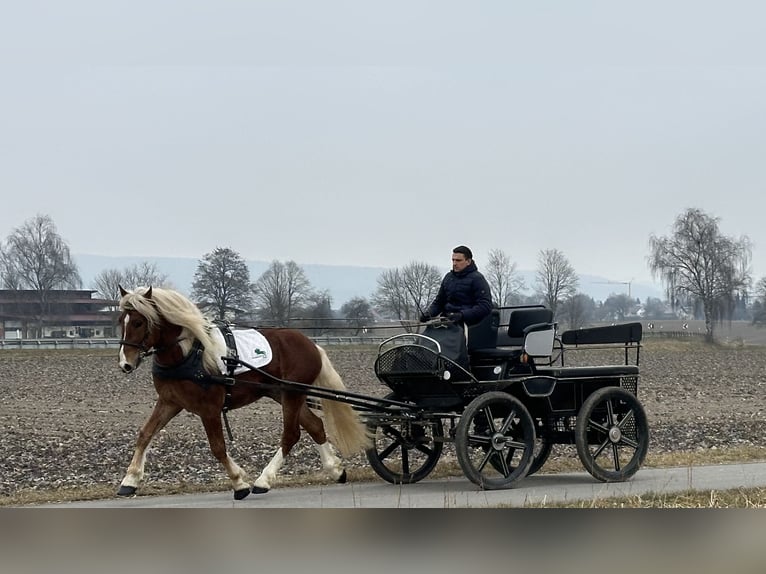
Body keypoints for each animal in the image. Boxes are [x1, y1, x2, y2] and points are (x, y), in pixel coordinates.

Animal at [115, 286, 374, 502]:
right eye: (121, 321)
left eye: (138, 322)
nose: (125, 364)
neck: (190, 353)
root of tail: (311, 344)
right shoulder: (169, 401)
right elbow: (145, 434)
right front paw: (130, 480)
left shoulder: (209, 409)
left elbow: (218, 448)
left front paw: (239, 483)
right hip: (284, 393)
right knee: (315, 426)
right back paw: (335, 469)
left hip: (291, 394)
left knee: (291, 435)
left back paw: (264, 480)